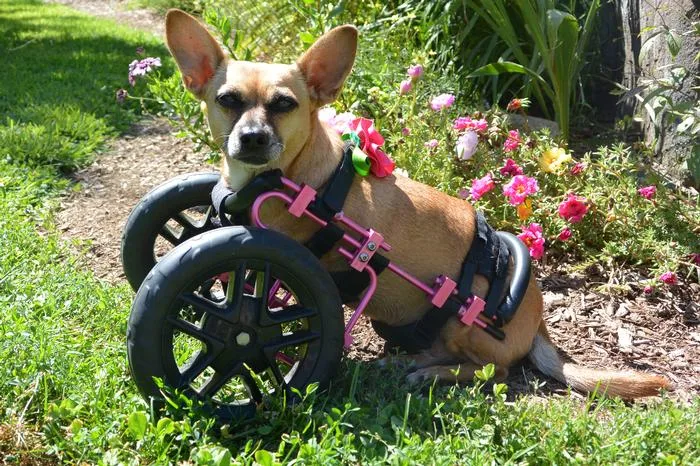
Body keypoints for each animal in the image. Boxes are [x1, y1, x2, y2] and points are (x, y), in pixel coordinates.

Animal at [163, 9, 668, 398]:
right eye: (227, 100)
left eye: (284, 104)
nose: (251, 137)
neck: (303, 177)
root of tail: (541, 321)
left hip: (468, 318)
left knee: (495, 371)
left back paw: (430, 371)